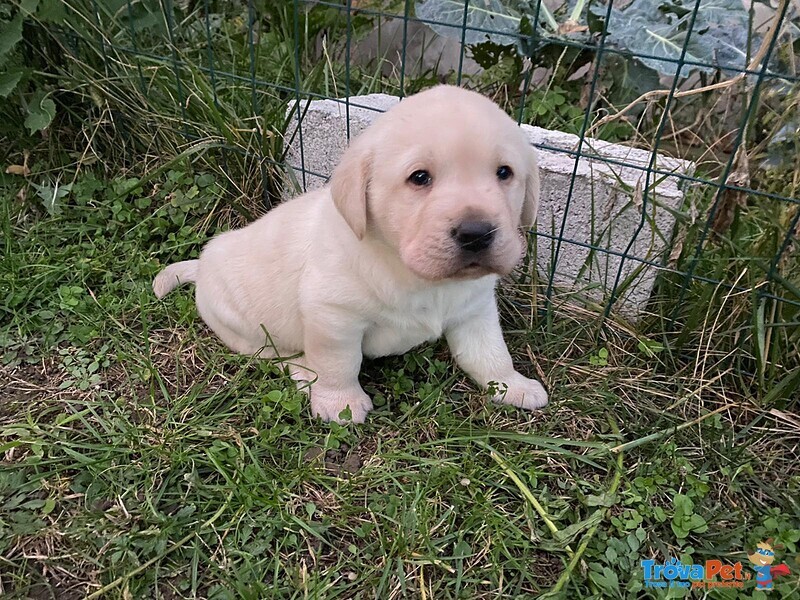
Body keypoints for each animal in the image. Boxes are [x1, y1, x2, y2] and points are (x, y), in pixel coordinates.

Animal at [153, 84, 548, 422]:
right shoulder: (333, 316)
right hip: (240, 324)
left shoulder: (475, 309)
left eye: (504, 172)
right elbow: (338, 363)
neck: (415, 276)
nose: (477, 233)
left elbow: (490, 353)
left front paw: (512, 385)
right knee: (272, 354)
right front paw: (339, 403)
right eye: (420, 178)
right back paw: (302, 371)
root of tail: (203, 264)